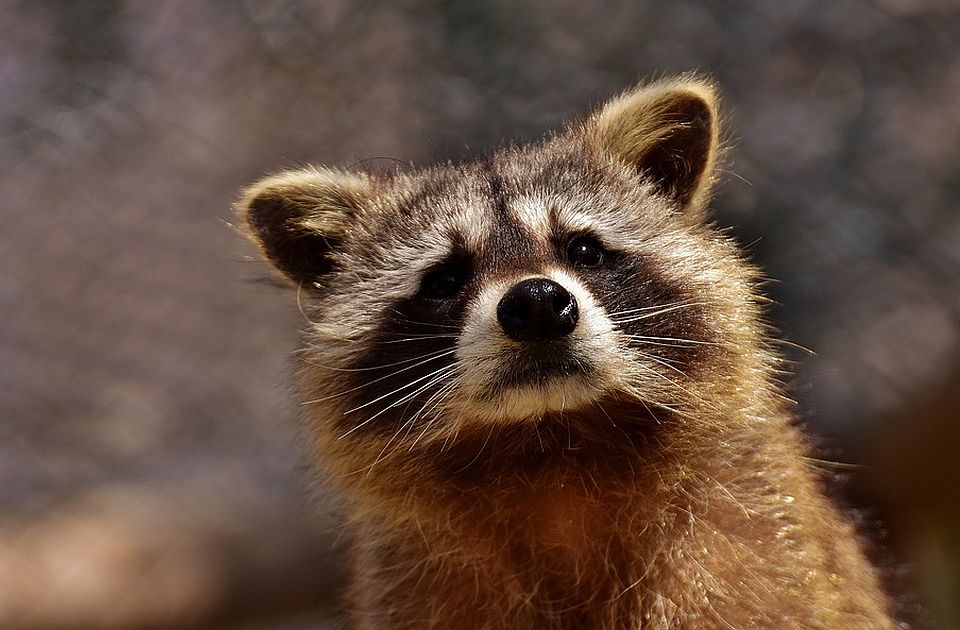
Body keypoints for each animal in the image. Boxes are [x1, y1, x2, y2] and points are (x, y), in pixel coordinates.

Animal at [236, 76, 896, 628]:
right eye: (444, 280)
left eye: (583, 249)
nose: (535, 304)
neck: (554, 451)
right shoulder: (416, 586)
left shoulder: (753, 542)